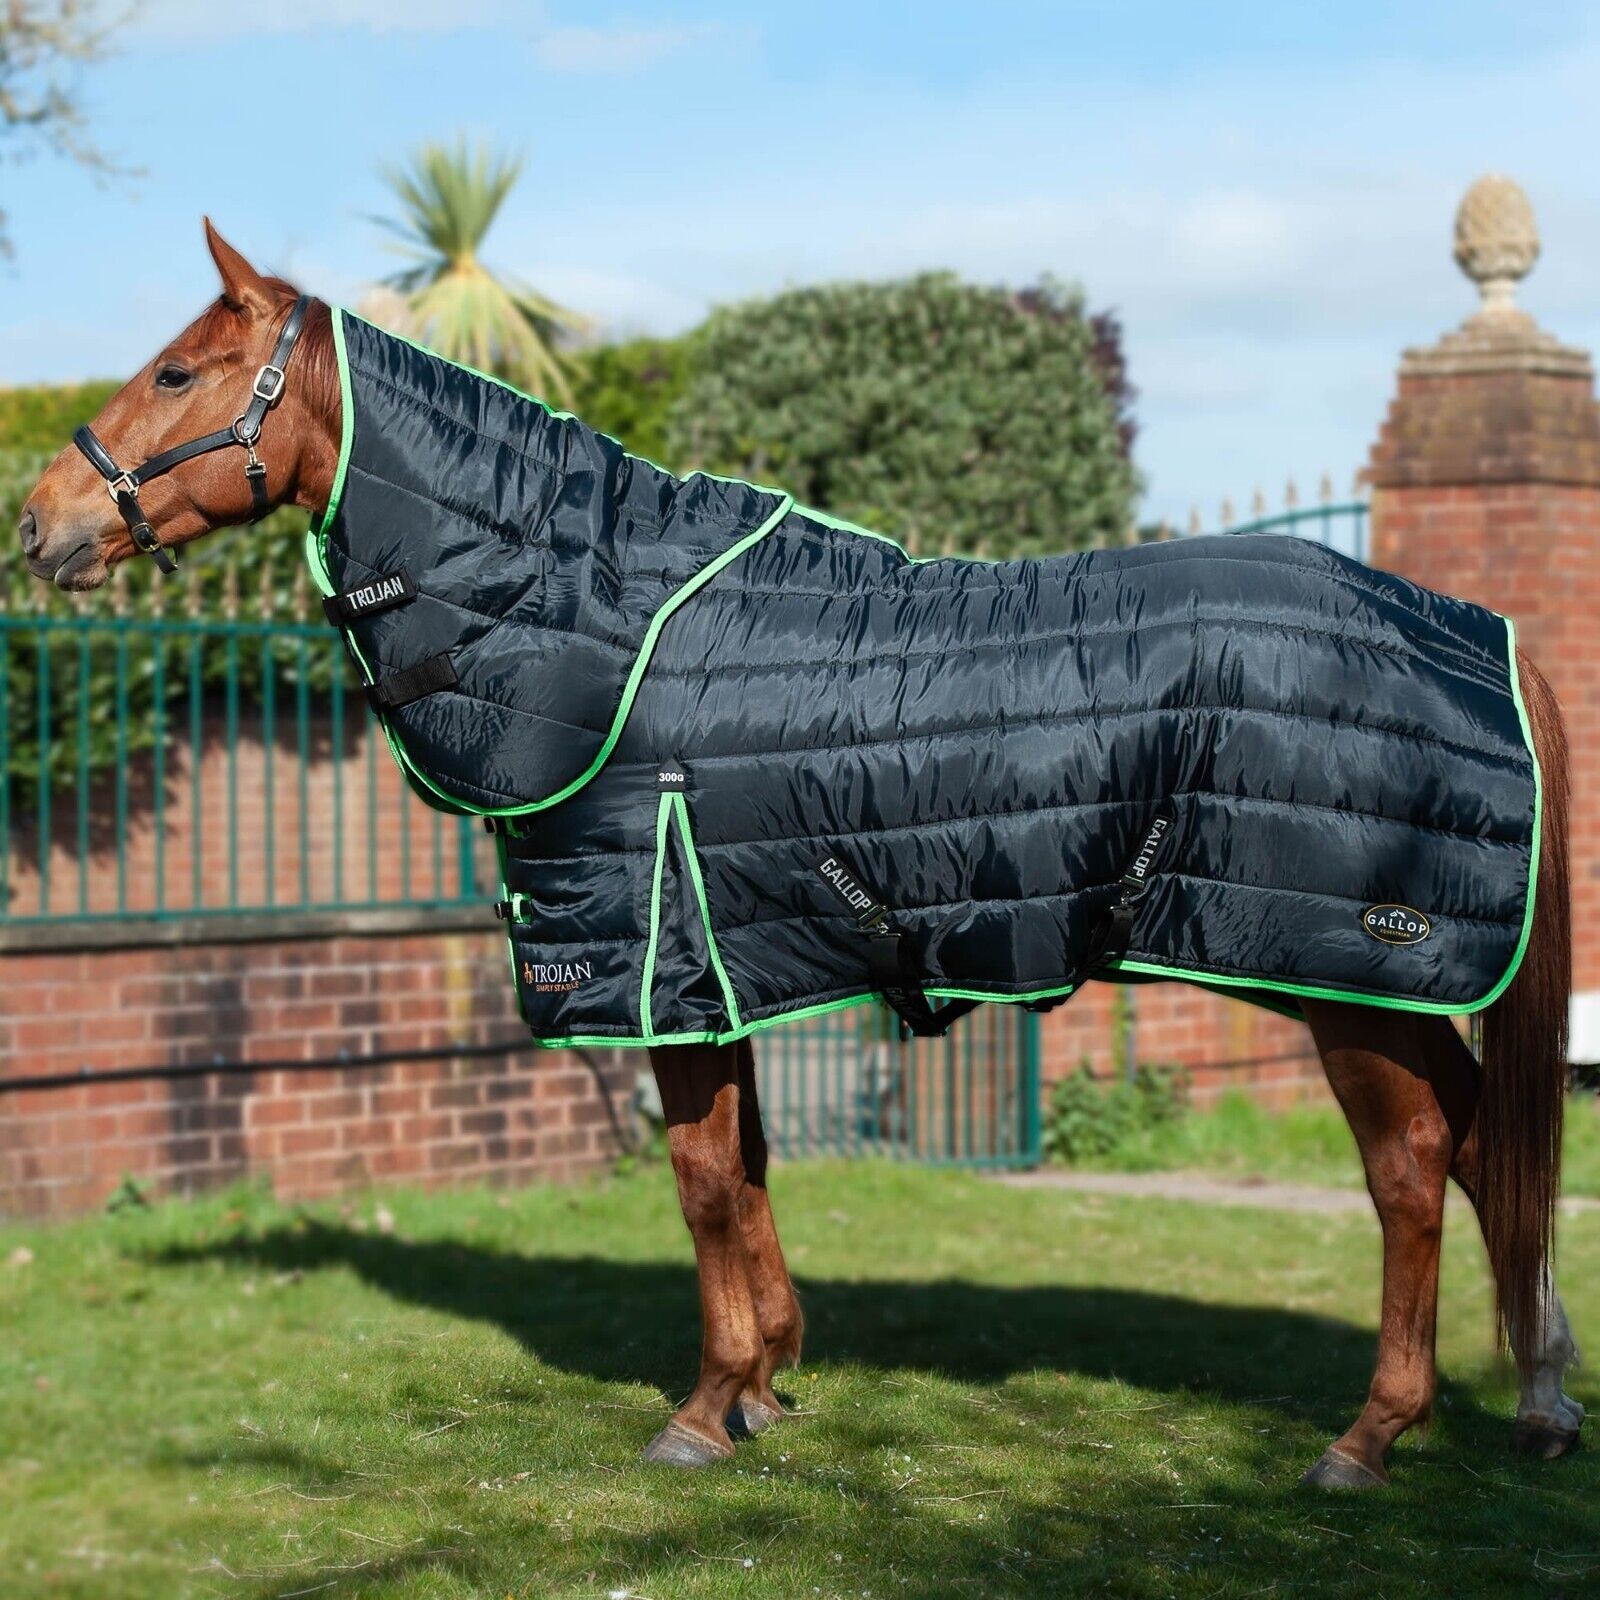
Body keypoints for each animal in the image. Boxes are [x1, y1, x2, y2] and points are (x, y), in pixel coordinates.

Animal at [16, 221, 1583, 1488]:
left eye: (175, 373)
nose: (41, 522)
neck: (589, 616)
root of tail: (1471, 629)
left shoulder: (655, 953)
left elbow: (704, 1181)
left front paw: (703, 1409)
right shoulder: (725, 958)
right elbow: (753, 1167)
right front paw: (768, 1379)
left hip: (1341, 971)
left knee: (1414, 1161)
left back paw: (1371, 1433)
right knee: (1483, 1139)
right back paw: (1540, 1397)